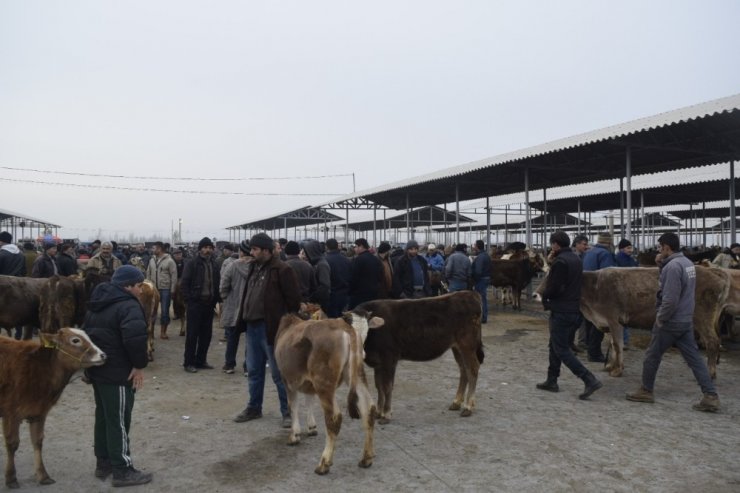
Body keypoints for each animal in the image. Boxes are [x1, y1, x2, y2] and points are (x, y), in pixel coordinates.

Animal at [0, 324, 107, 486]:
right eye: (75, 340)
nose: (102, 355)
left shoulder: (39, 412)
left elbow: (37, 441)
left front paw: (43, 475)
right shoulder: (10, 413)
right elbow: (12, 444)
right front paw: (11, 478)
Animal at [274, 310, 384, 474]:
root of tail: (345, 327)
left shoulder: (287, 379)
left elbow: (293, 406)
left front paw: (294, 435)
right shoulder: (308, 383)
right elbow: (309, 400)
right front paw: (311, 428)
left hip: (324, 381)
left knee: (334, 417)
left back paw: (324, 464)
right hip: (355, 374)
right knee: (368, 408)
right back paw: (366, 458)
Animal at [360, 288, 486, 422]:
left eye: (365, 328)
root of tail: (469, 293)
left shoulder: (389, 359)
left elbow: (387, 386)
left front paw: (386, 415)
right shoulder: (378, 363)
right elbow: (379, 386)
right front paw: (378, 413)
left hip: (467, 345)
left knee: (472, 369)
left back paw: (468, 407)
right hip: (457, 347)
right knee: (463, 369)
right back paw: (456, 402)